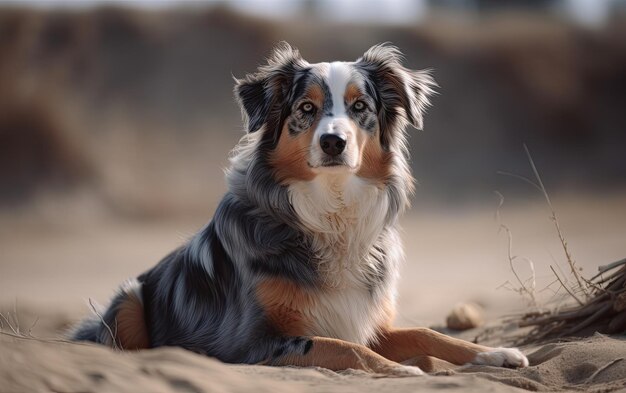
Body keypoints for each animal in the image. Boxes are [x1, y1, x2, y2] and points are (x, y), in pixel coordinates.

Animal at [73, 42, 528, 374]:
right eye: (306, 109)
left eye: (360, 107)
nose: (332, 142)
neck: (333, 209)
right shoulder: (251, 343)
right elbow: (343, 348)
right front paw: (405, 371)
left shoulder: (367, 320)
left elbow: (426, 334)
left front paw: (496, 354)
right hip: (130, 298)